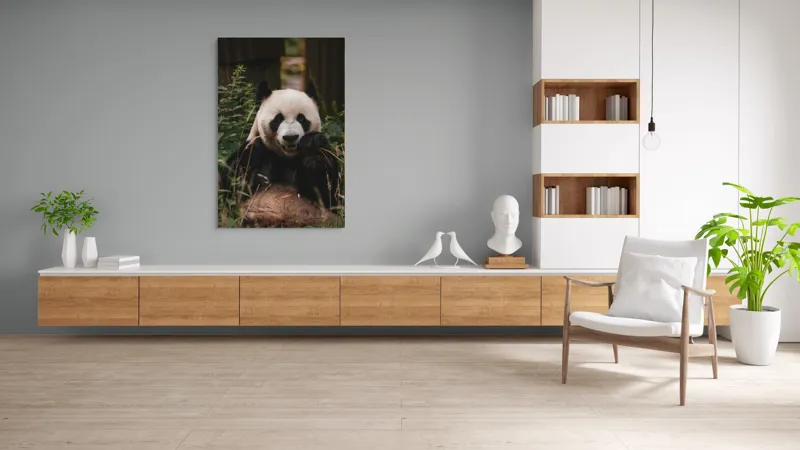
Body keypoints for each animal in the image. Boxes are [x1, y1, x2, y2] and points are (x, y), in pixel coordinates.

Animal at [220, 81, 339, 212]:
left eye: (301, 118)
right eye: (278, 118)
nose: (290, 137)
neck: (286, 157)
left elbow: (327, 194)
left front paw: (312, 147)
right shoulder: (258, 151)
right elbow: (232, 187)